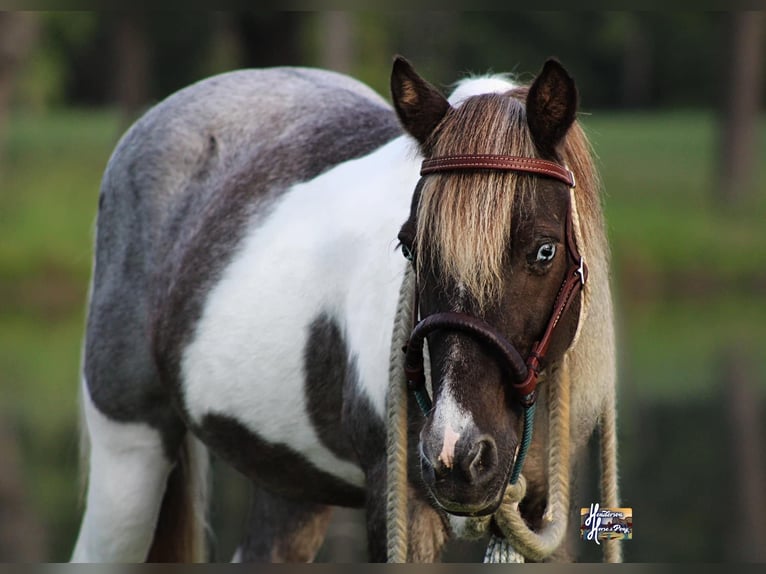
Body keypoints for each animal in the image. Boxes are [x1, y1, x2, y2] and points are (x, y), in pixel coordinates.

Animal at [72, 57, 616, 564]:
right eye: (409, 246)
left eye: (544, 251)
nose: (456, 455)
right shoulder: (398, 503)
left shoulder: (542, 516)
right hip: (128, 457)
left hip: (289, 485)